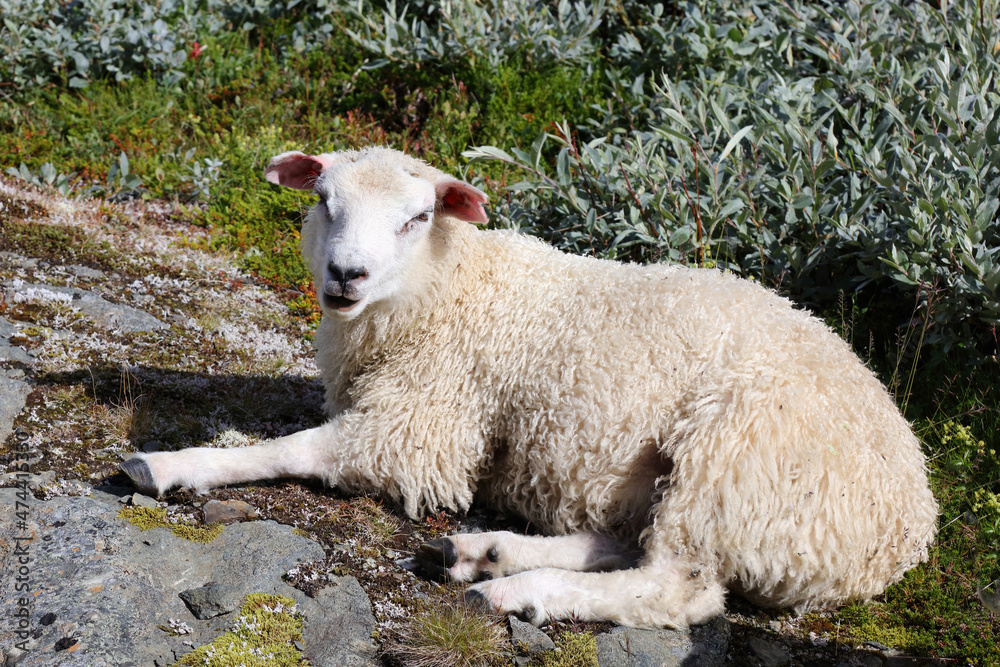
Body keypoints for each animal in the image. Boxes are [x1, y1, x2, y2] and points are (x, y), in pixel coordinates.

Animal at [121, 146, 938, 629]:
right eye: (323, 199)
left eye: (419, 217)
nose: (345, 274)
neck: (447, 289)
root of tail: (910, 522)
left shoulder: (422, 427)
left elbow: (290, 447)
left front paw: (172, 464)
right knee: (626, 541)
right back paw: (488, 552)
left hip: (732, 457)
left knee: (679, 588)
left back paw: (517, 589)